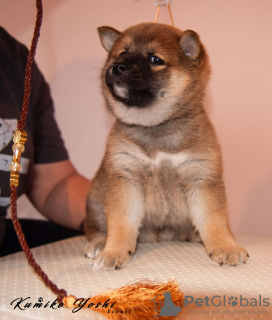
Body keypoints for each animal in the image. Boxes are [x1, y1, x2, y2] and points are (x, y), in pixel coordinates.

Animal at [85, 21, 249, 270]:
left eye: (155, 60)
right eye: (122, 53)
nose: (117, 67)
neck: (156, 128)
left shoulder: (201, 178)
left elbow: (215, 221)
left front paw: (226, 247)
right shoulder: (126, 178)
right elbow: (121, 224)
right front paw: (113, 252)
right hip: (95, 198)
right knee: (95, 228)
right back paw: (98, 244)